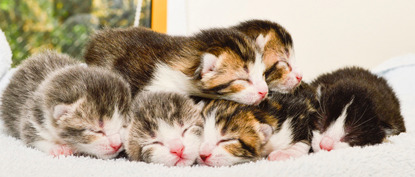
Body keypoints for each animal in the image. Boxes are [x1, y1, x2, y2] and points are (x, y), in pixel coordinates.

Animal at [0, 50, 132, 158]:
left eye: (123, 125)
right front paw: (56, 148)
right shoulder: (32, 117)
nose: (117, 145)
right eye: (96, 131)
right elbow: (32, 138)